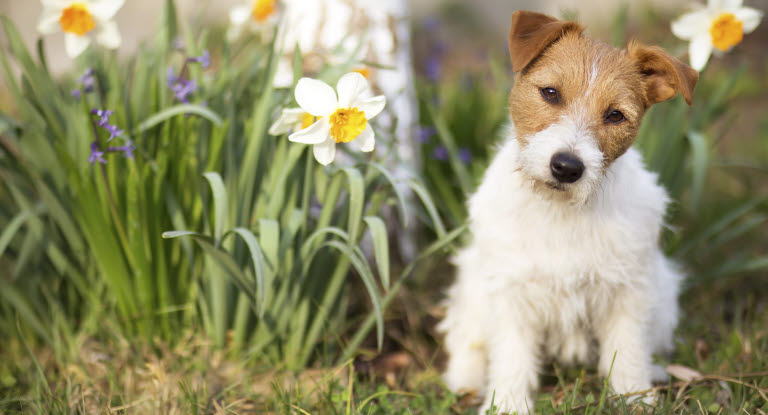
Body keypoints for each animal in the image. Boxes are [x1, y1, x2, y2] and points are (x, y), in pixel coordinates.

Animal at [438, 9, 696, 415]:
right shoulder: (511, 292)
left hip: (664, 289)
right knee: (467, 337)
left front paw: (634, 396)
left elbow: (627, 348)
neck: (561, 211)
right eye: (550, 93)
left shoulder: (629, 290)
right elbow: (511, 356)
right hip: (473, 285)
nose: (567, 167)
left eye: (615, 115)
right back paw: (465, 378)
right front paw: (507, 404)